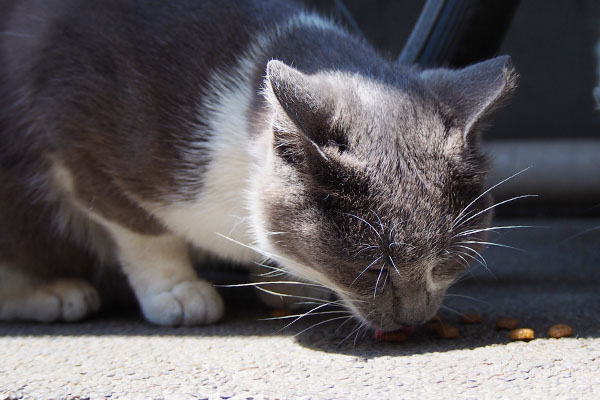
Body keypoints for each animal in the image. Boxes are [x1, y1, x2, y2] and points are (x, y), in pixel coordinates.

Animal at [0, 0, 516, 332]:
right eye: (371, 269)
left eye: (448, 260)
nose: (413, 319)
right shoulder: (78, 130)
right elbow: (142, 229)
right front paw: (177, 291)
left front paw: (287, 284)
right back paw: (53, 293)